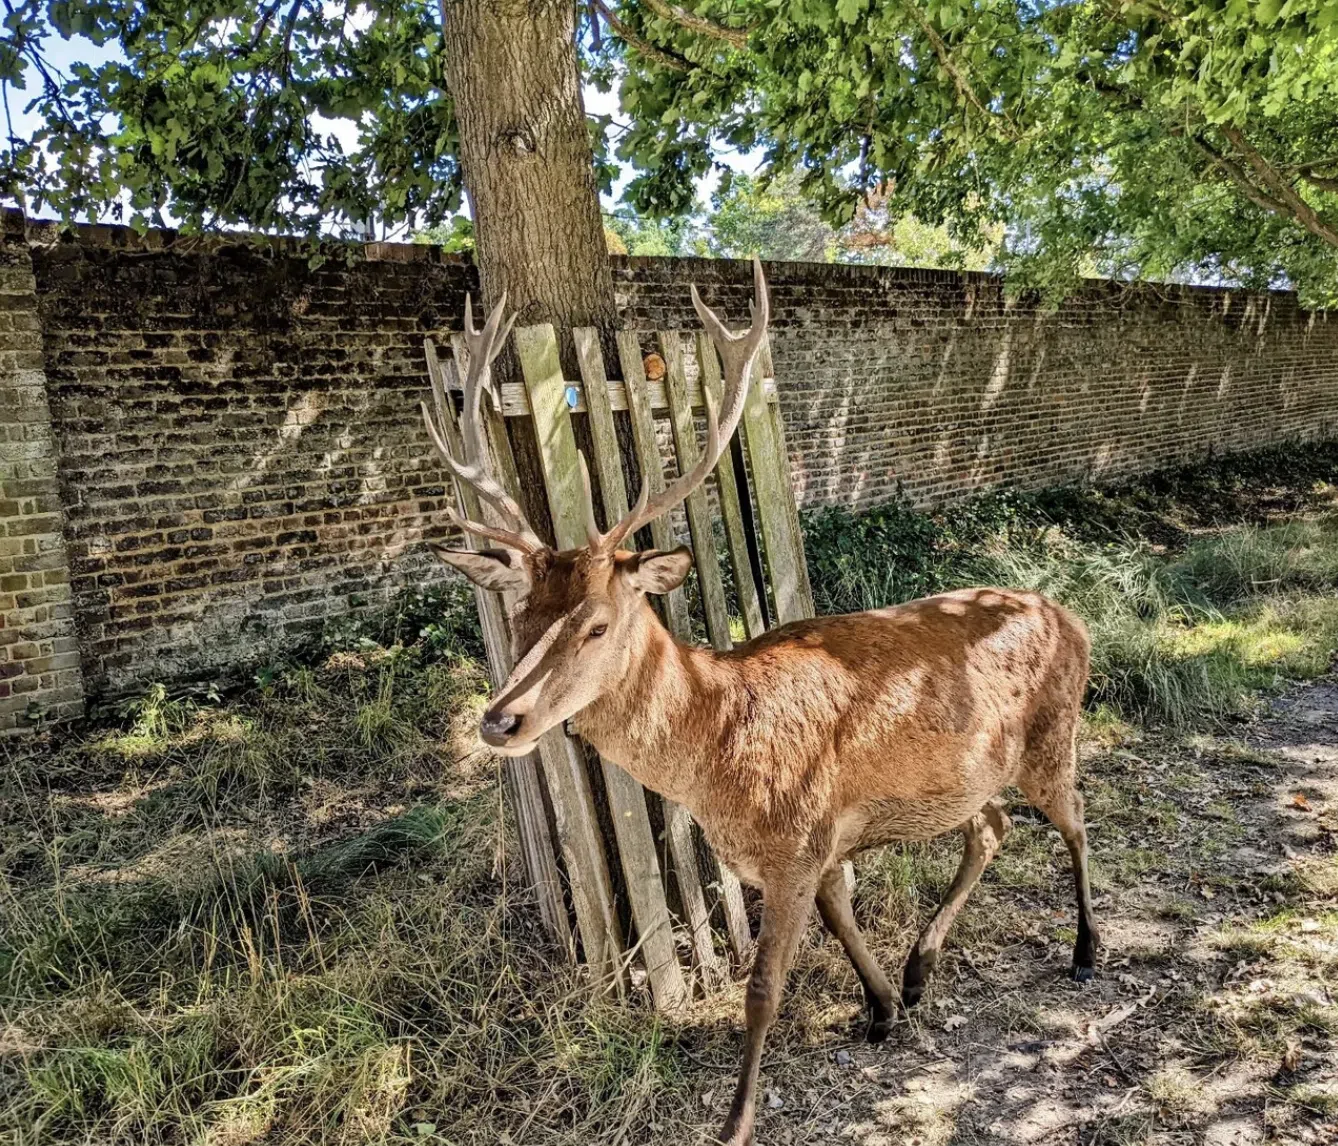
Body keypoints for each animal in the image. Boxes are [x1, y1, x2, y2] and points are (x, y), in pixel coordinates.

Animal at [421, 261, 1099, 1146]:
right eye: (519, 616)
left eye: (596, 623)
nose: (500, 720)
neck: (718, 759)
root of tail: (1073, 616)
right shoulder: (820, 843)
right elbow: (841, 919)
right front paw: (884, 1006)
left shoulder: (796, 839)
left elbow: (763, 989)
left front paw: (736, 1121)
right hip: (968, 774)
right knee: (991, 828)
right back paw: (922, 968)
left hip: (1056, 732)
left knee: (1075, 820)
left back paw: (1086, 950)